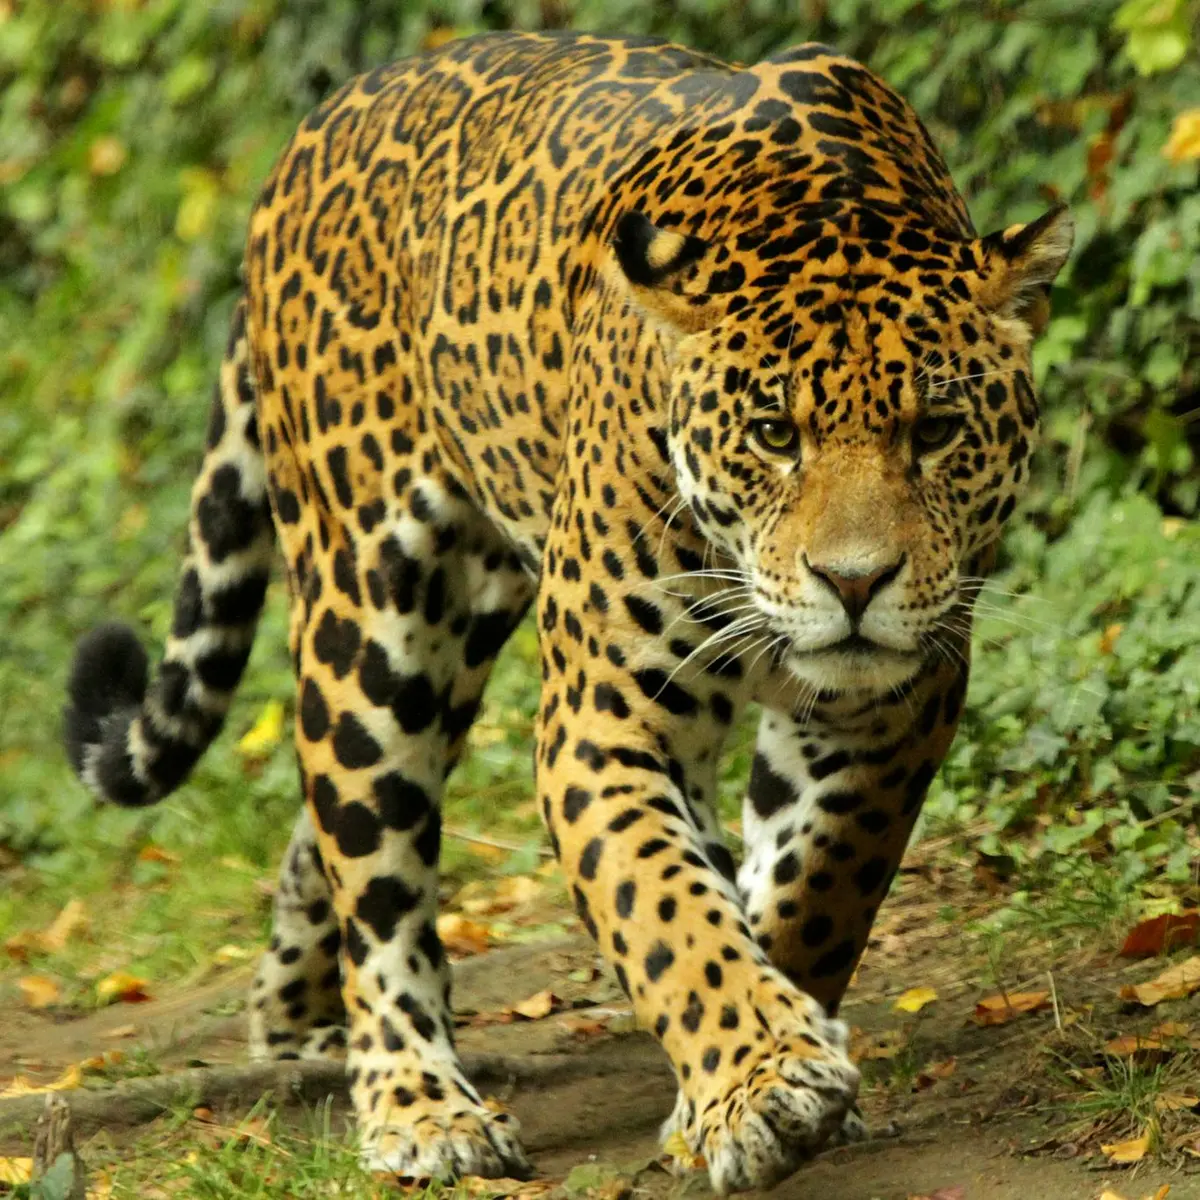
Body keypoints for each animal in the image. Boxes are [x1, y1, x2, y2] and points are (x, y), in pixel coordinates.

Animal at [63, 30, 1072, 1194]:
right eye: (774, 434)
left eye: (938, 430)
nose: (854, 584)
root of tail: (310, 135)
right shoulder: (602, 721)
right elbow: (668, 908)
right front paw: (764, 1080)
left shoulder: (893, 707)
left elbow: (815, 890)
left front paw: (745, 1077)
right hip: (371, 618)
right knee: (373, 863)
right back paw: (418, 1107)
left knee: (322, 828)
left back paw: (290, 1017)